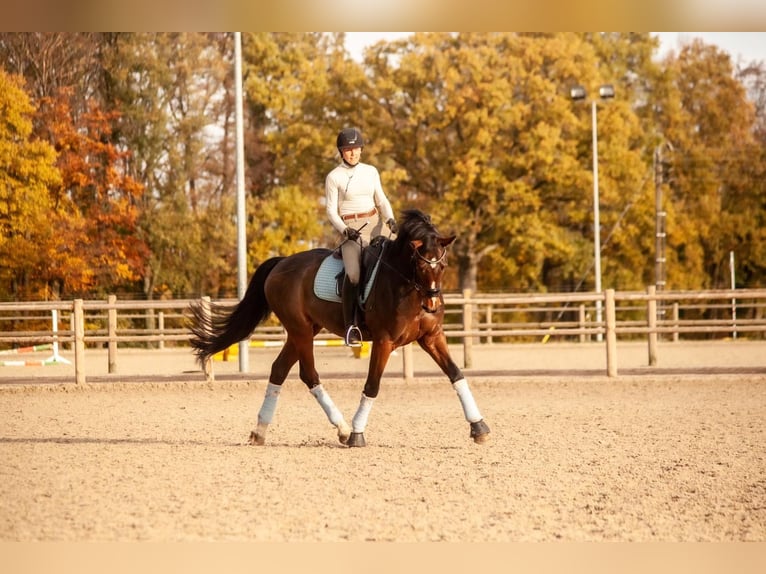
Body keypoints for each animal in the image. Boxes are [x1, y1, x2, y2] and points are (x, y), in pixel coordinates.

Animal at [190, 209, 492, 448]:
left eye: (444, 264)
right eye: (419, 263)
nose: (432, 303)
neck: (407, 286)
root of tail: (282, 262)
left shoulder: (432, 337)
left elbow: (456, 374)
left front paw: (479, 427)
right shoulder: (384, 341)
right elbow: (372, 385)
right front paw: (358, 433)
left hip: (305, 331)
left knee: (279, 370)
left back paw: (260, 431)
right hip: (300, 331)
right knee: (309, 374)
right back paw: (344, 429)